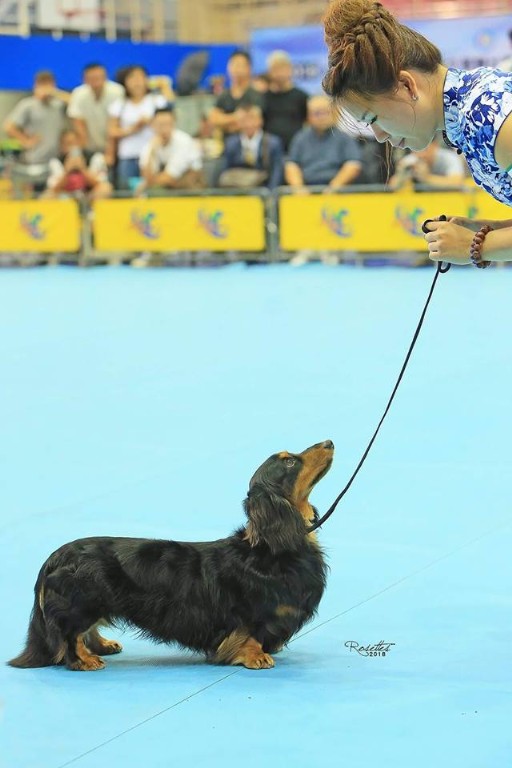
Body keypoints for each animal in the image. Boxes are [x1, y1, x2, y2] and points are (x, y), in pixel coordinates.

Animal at [8, 440, 333, 672]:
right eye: (290, 460)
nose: (329, 442)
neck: (269, 545)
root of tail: (55, 557)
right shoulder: (250, 613)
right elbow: (250, 635)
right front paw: (255, 656)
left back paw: (102, 646)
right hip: (83, 600)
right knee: (70, 634)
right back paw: (85, 660)